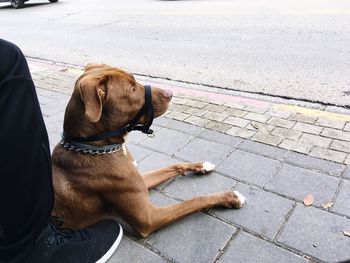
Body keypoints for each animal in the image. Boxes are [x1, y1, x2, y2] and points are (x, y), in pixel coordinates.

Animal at [51, 64, 246, 239]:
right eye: (131, 89)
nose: (170, 93)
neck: (95, 147)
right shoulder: (149, 219)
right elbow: (194, 200)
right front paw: (230, 197)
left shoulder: (140, 181)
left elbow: (174, 165)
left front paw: (201, 166)